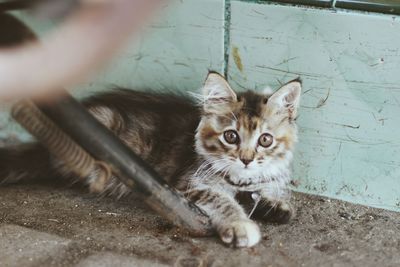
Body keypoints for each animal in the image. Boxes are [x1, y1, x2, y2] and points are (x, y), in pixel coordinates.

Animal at [0, 72, 300, 248]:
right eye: (231, 136)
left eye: (265, 140)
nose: (246, 159)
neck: (241, 180)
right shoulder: (187, 184)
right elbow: (222, 200)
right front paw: (239, 225)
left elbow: (263, 193)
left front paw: (273, 205)